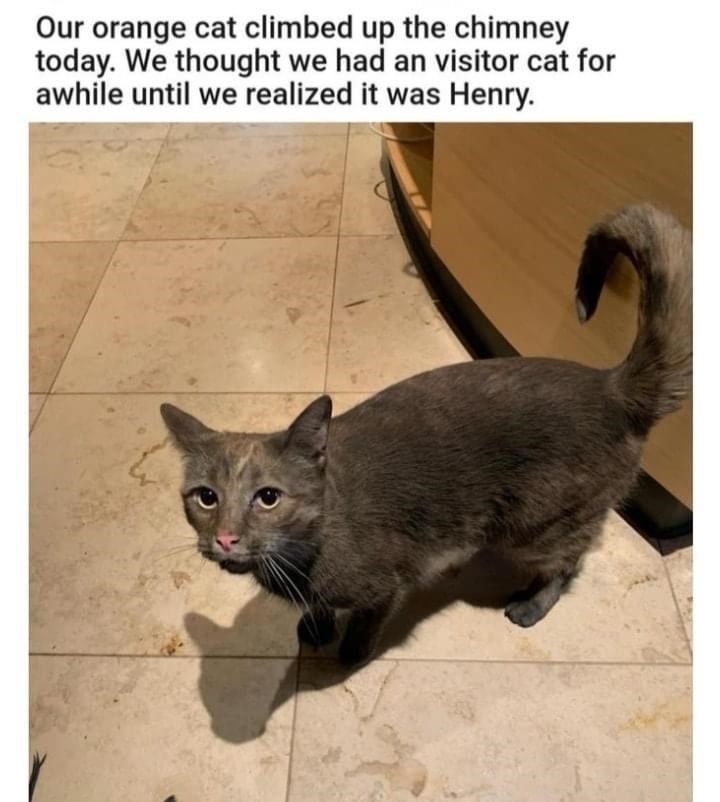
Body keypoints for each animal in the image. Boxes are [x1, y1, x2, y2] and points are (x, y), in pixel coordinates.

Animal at [162, 203, 692, 664]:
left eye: (268, 497)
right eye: (205, 497)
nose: (225, 538)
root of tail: (610, 385)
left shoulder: (386, 585)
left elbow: (366, 620)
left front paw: (350, 654)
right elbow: (321, 605)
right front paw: (315, 626)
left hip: (537, 524)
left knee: (570, 561)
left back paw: (530, 605)